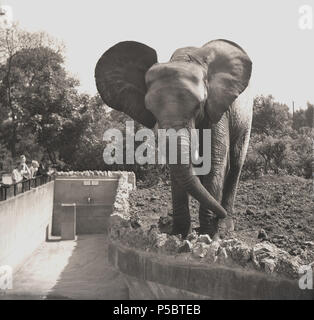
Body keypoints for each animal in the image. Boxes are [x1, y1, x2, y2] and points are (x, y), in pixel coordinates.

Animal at [95, 40, 253, 239]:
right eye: (150, 109)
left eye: (199, 105)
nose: (219, 216)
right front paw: (179, 233)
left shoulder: (218, 110)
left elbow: (215, 160)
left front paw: (209, 235)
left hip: (246, 118)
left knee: (236, 160)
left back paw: (225, 226)